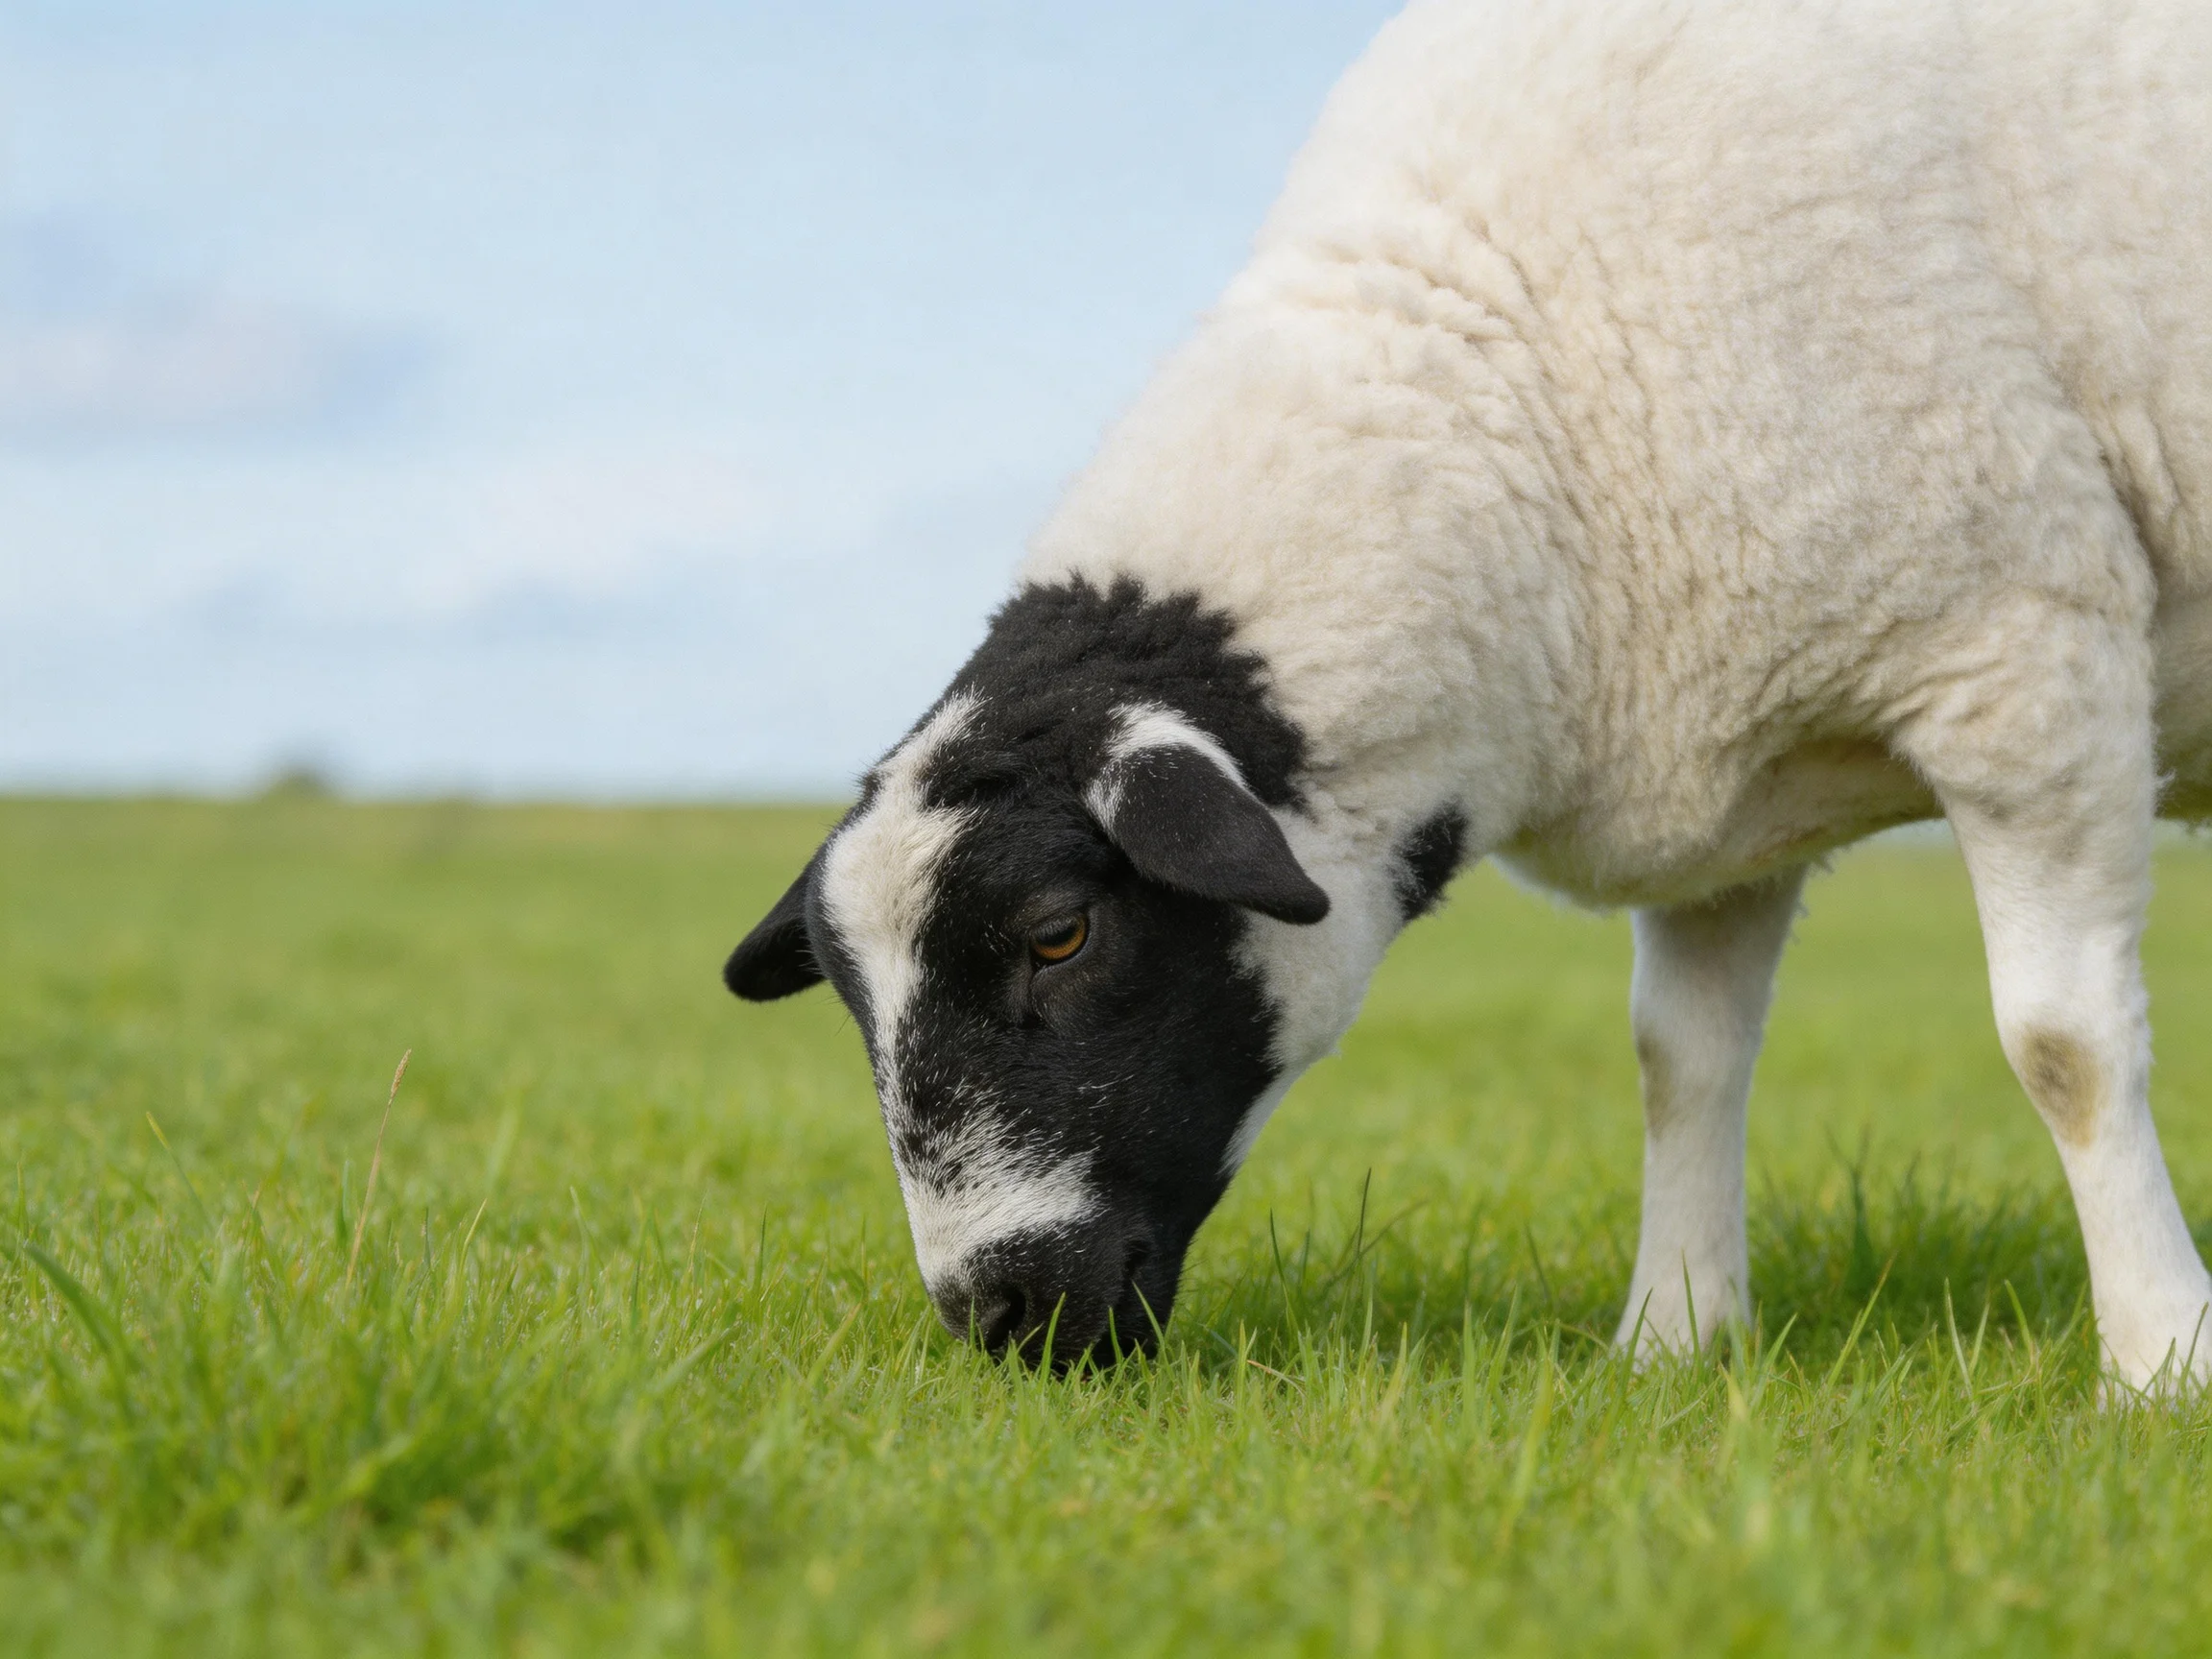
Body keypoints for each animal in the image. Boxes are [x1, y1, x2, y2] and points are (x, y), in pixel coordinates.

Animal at [727, 0, 2212, 1388]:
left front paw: (2160, 1360)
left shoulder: (2021, 662)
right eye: (851, 1000)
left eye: (1058, 935)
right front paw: (1671, 1343)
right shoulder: (1729, 769)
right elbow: (1682, 1064)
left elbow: (2064, 1048)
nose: (999, 1316)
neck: (1522, 395)